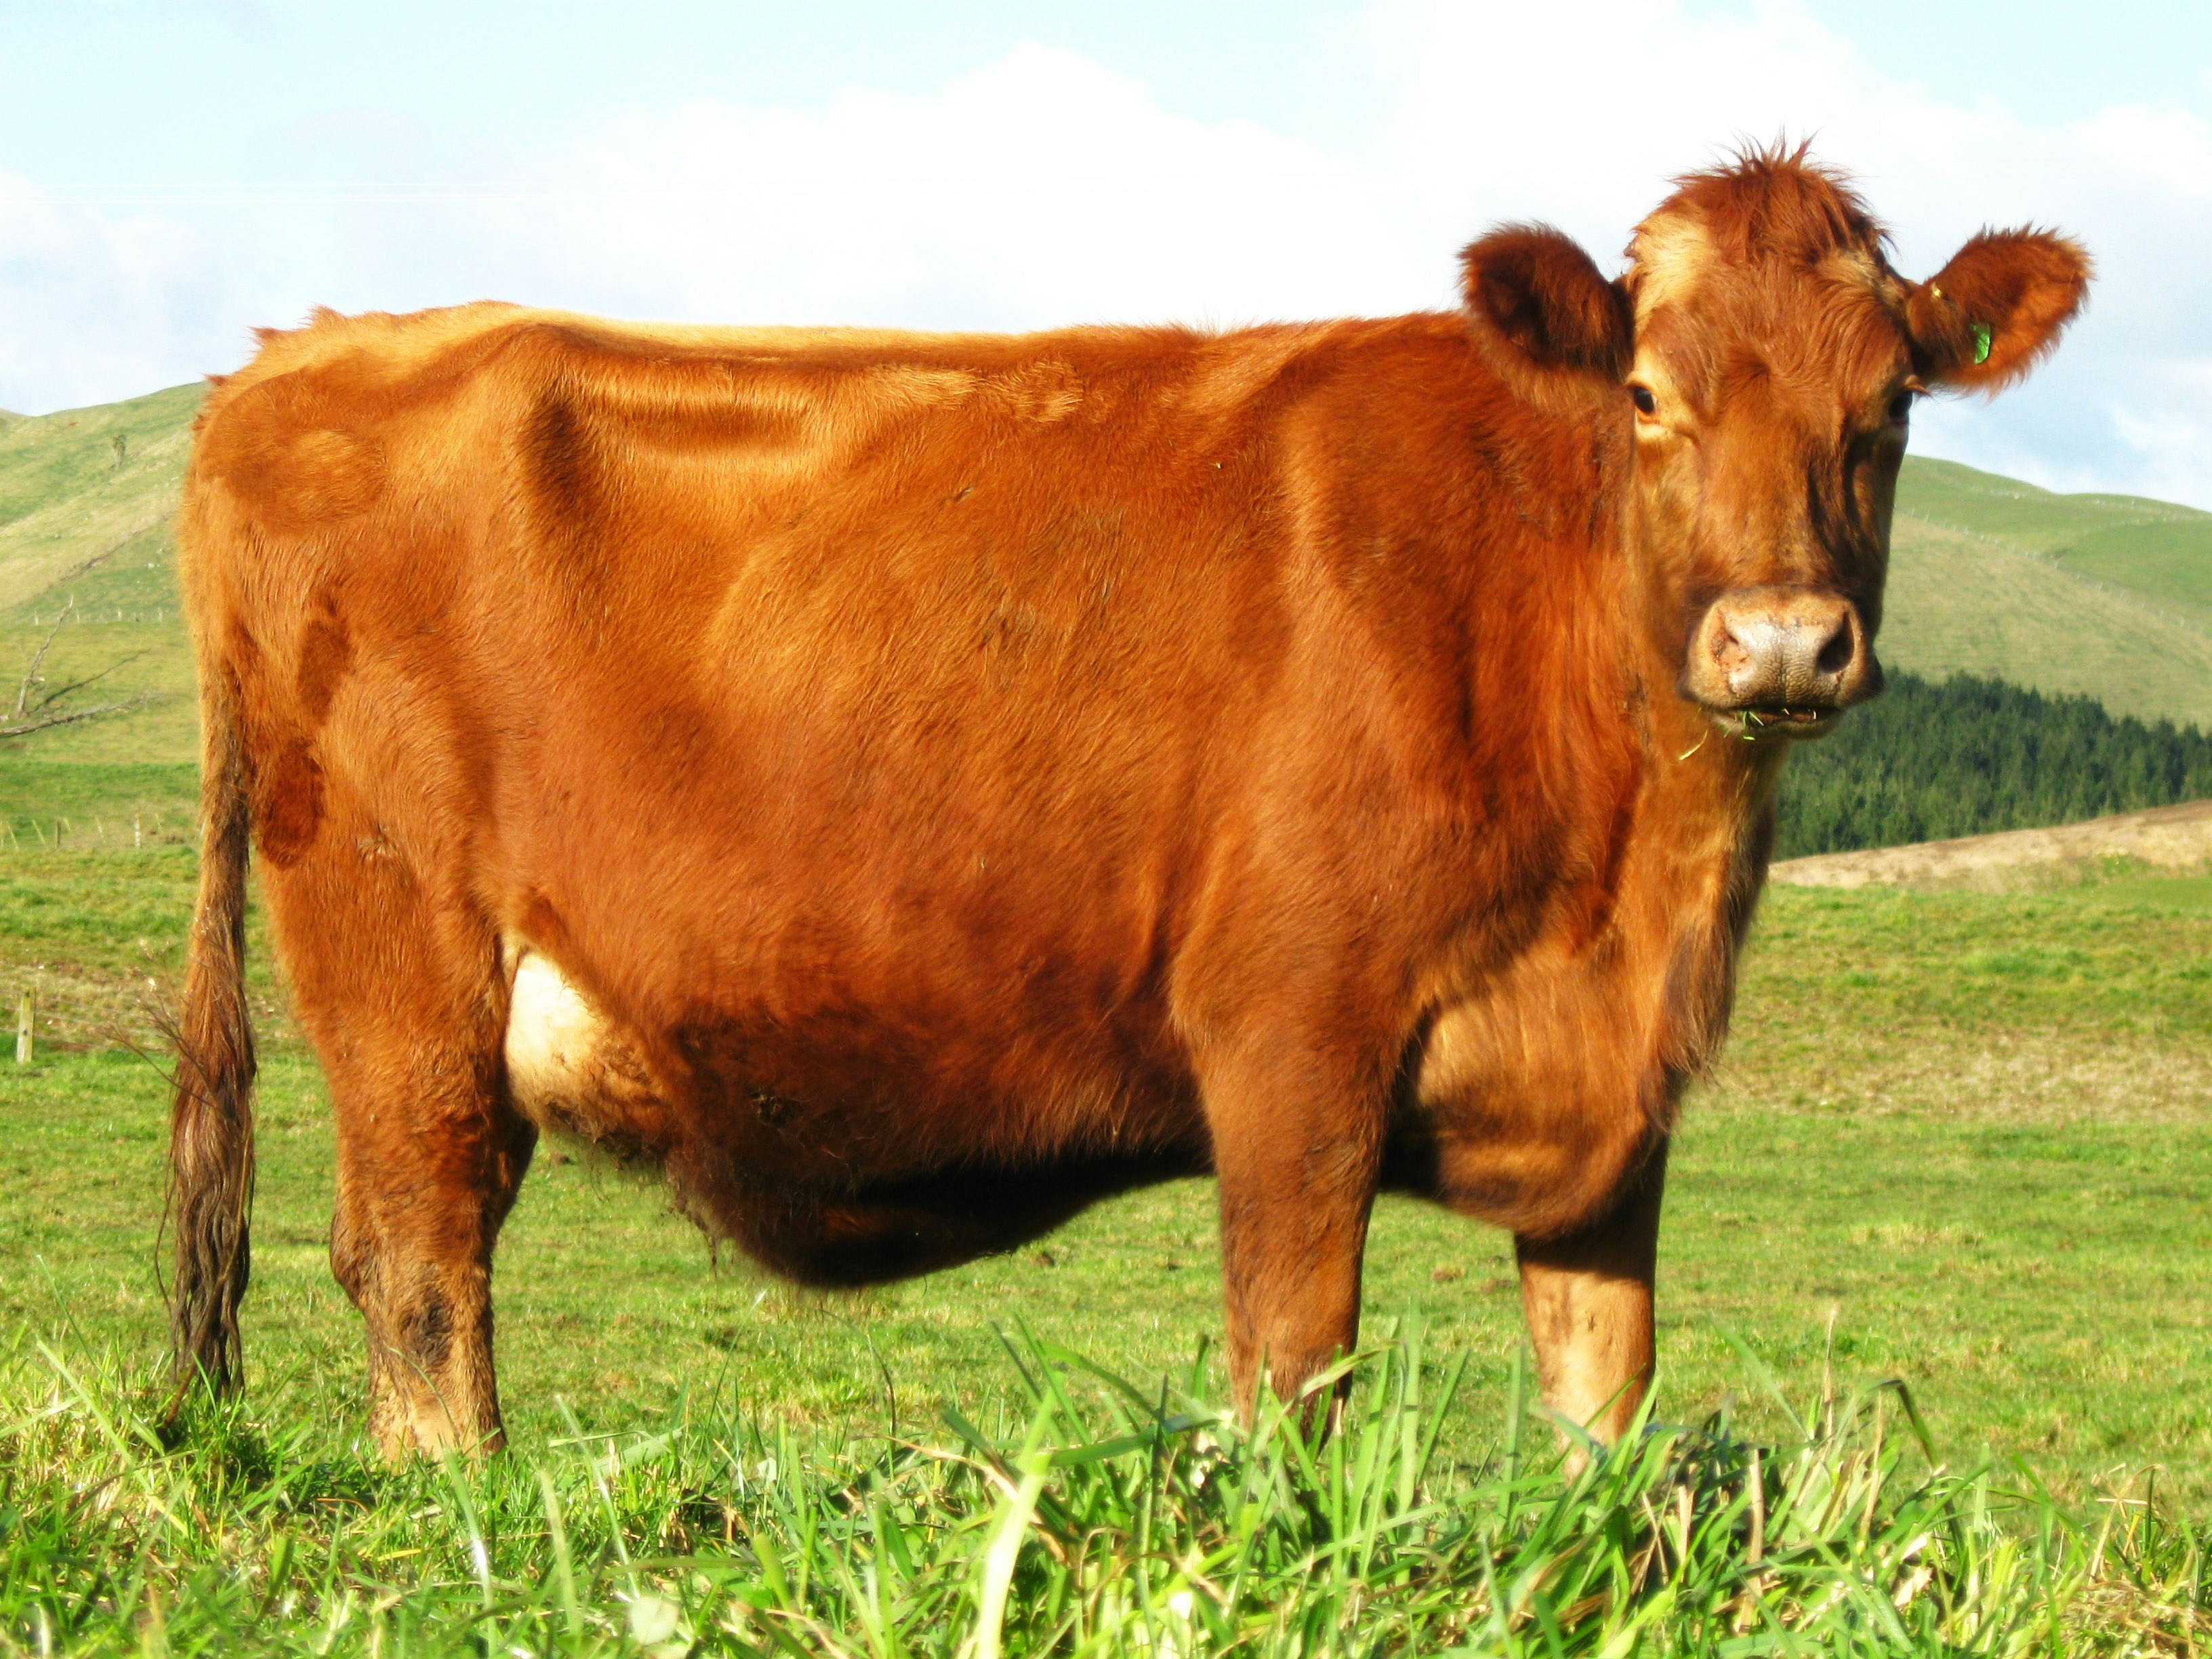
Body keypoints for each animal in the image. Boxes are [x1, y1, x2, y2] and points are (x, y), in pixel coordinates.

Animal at [165, 147, 2088, 1458]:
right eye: (1643, 394)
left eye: (1893, 402)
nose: (1781, 639)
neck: (1636, 882)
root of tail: (293, 359)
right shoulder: (1292, 1038)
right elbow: (1293, 1372)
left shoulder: (1613, 1099)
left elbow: (1600, 1407)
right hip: (402, 956)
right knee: (421, 1268)